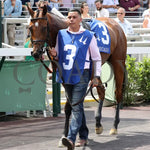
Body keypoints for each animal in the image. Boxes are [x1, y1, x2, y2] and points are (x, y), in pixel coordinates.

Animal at [27, 5, 126, 138]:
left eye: (43, 27)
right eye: (30, 28)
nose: (36, 53)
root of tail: (116, 24)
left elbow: (74, 103)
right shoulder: (64, 76)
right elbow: (71, 104)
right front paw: (68, 133)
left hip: (118, 63)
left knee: (118, 92)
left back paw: (114, 126)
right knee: (101, 91)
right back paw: (98, 124)